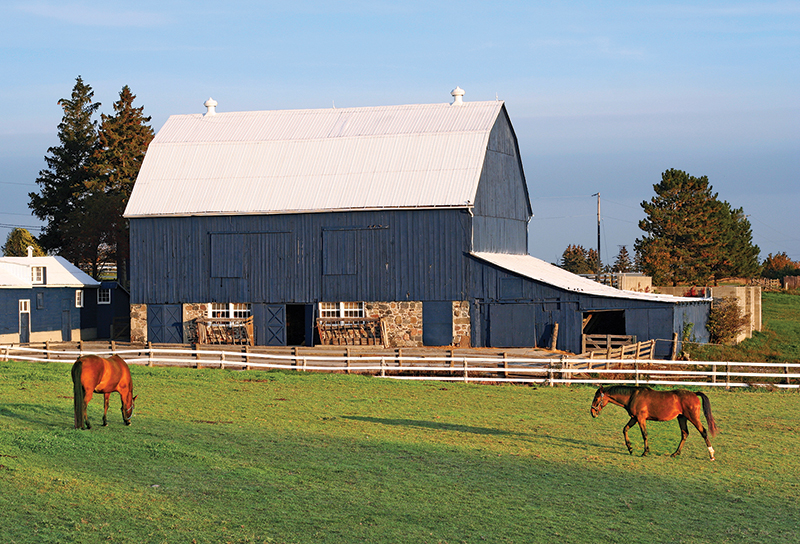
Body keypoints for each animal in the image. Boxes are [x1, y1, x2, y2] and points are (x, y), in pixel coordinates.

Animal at [590, 385, 718, 460]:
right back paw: (675, 453)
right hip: (682, 418)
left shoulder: (641, 419)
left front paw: (645, 452)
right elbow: (625, 429)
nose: (592, 412)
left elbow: (644, 434)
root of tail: (694, 393)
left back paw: (711, 454)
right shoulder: (634, 418)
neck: (633, 396)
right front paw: (630, 448)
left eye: (596, 398)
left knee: (703, 432)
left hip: (693, 418)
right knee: (685, 433)